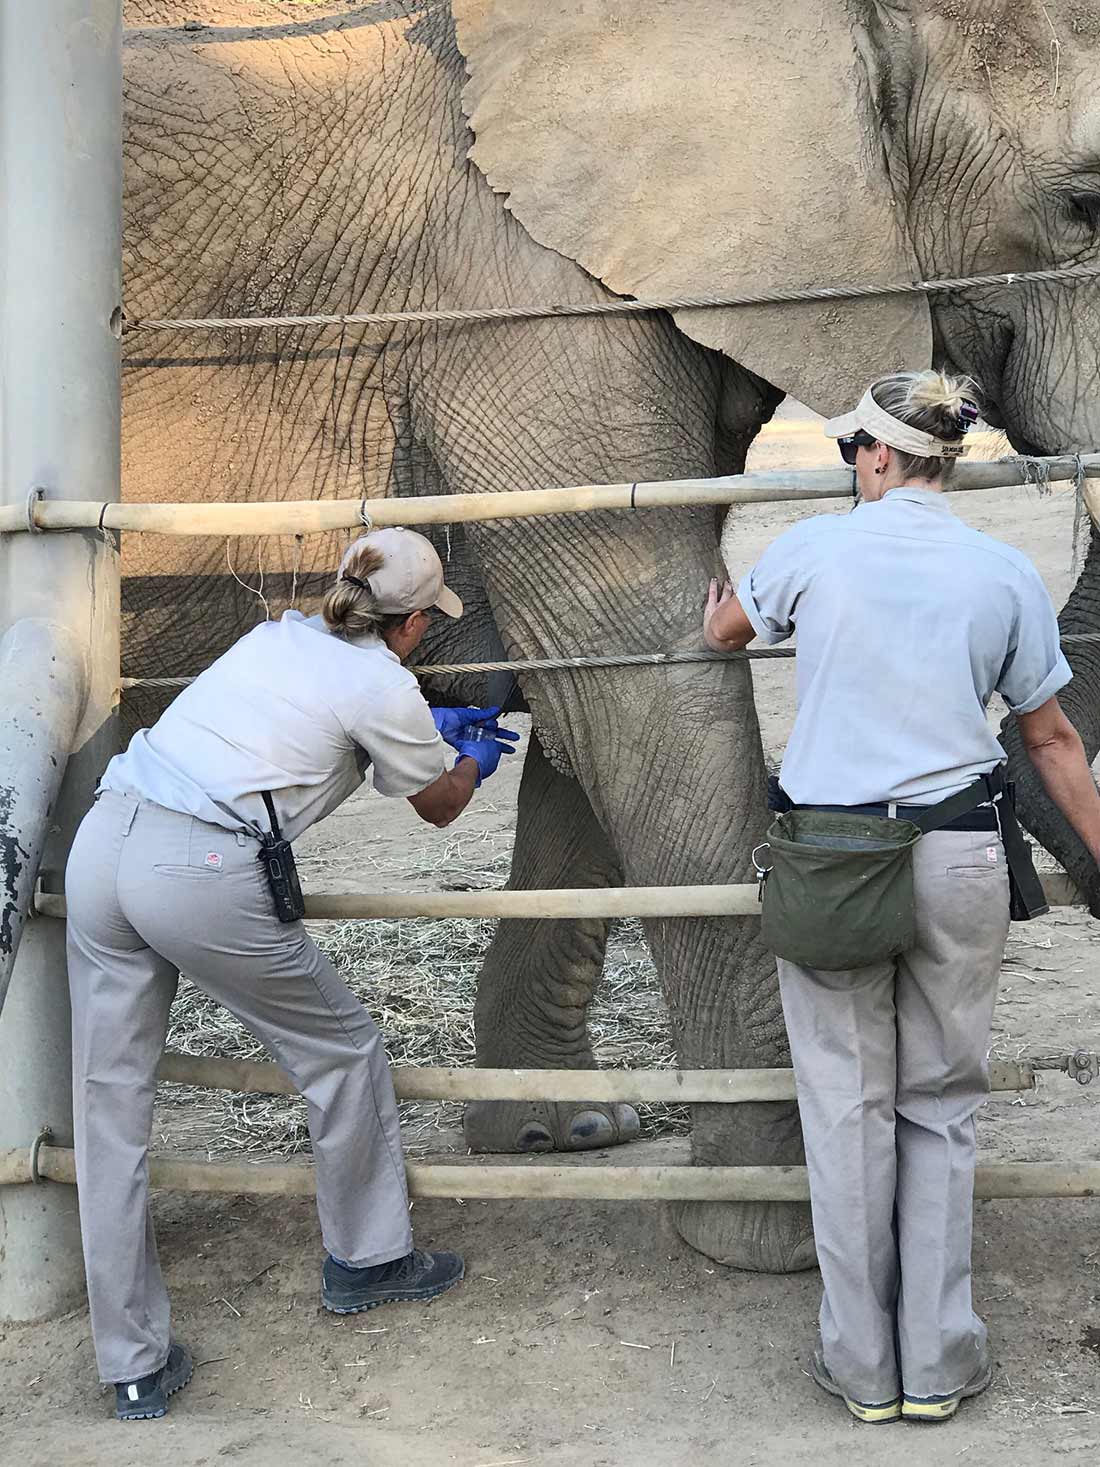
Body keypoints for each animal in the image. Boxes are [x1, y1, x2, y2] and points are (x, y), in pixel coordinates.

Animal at [118, 0, 1100, 1273]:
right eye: (1085, 205)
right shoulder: (522, 305)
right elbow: (644, 676)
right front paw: (781, 1235)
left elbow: (598, 697)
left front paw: (562, 1138)